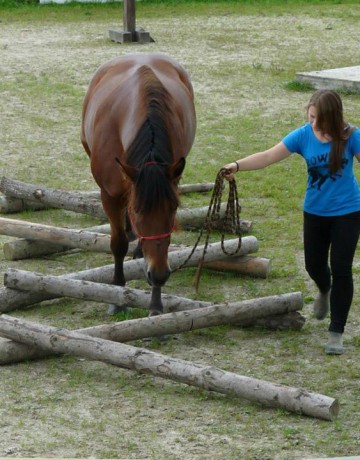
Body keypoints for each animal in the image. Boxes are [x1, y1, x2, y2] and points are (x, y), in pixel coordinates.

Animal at [81, 52, 197, 314]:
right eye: (137, 210)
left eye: (173, 208)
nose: (160, 275)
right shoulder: (109, 195)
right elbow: (117, 244)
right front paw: (117, 297)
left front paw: (156, 303)